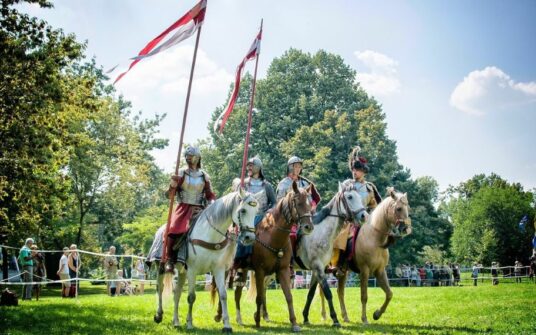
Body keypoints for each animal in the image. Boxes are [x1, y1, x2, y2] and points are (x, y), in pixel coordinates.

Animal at [148, 189, 258, 334]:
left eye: (256, 212)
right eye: (243, 210)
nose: (249, 237)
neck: (210, 234)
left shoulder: (218, 269)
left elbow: (223, 295)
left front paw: (227, 326)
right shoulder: (192, 270)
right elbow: (191, 297)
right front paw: (189, 323)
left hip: (182, 272)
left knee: (177, 293)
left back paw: (176, 321)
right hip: (160, 266)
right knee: (160, 288)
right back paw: (159, 315)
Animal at [214, 180, 314, 332]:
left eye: (309, 203)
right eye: (298, 202)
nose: (309, 227)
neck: (273, 237)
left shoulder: (283, 270)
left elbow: (289, 296)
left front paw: (294, 323)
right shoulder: (260, 271)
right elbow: (260, 296)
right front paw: (257, 320)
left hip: (242, 269)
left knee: (237, 292)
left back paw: (239, 319)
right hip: (227, 269)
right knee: (223, 290)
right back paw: (220, 316)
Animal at [298, 184, 368, 328]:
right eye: (350, 197)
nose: (364, 216)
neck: (320, 232)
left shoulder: (316, 270)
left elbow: (310, 294)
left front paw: (305, 317)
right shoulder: (318, 268)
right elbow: (327, 293)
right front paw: (335, 319)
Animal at [320, 188, 412, 324]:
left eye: (407, 208)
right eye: (399, 208)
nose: (406, 228)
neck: (374, 238)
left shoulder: (380, 271)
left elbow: (389, 294)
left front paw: (377, 314)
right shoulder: (365, 271)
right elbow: (364, 296)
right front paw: (364, 319)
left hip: (343, 272)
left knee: (340, 292)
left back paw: (345, 316)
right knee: (322, 290)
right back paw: (324, 315)